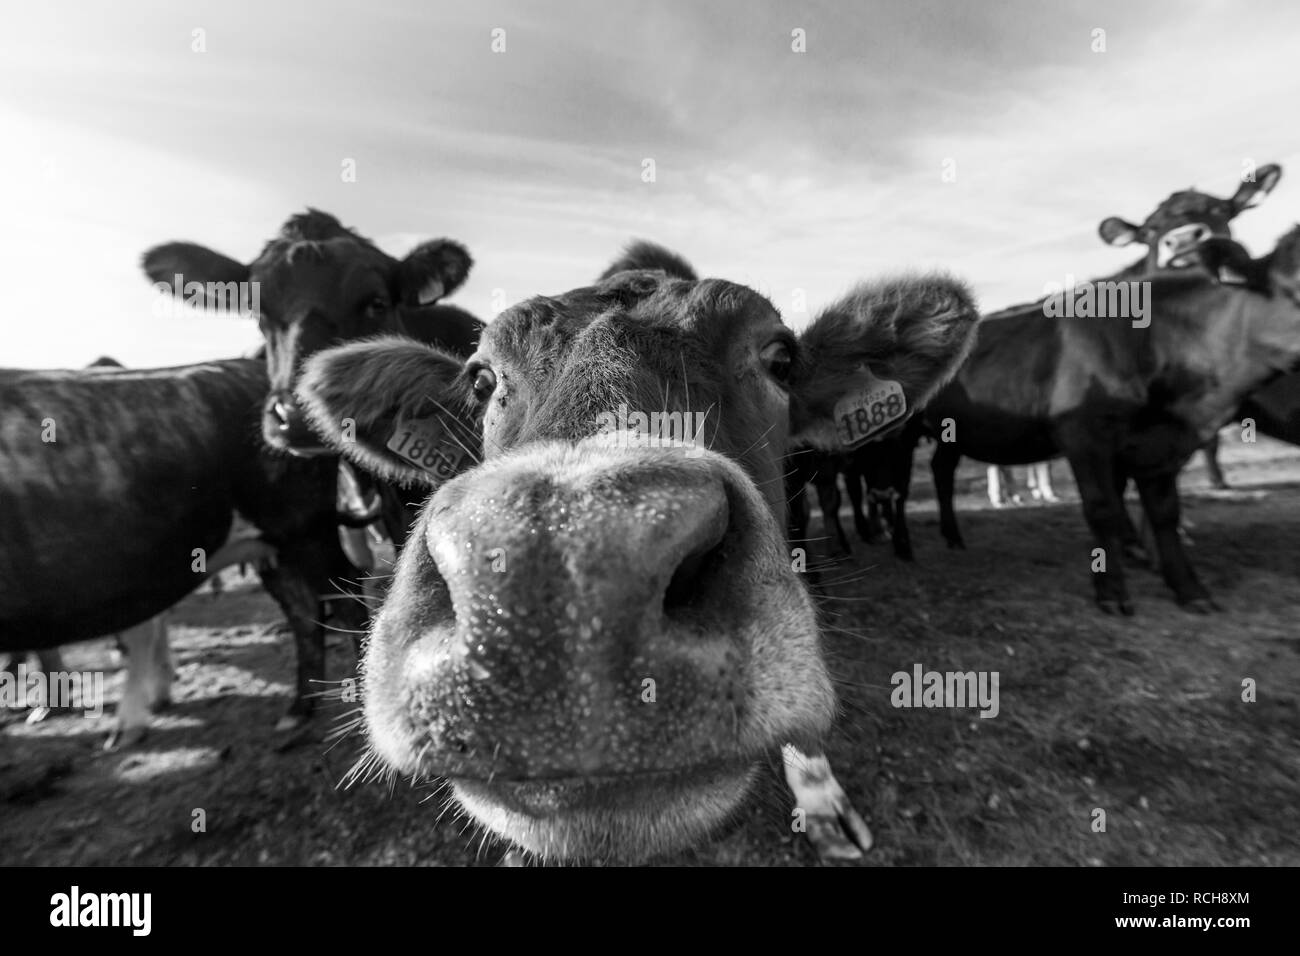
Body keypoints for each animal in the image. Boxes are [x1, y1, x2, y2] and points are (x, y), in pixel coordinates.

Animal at [925, 225, 1300, 613]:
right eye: (1296, 283)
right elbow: (1102, 508)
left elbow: (1165, 513)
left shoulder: (1161, 444)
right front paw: (1112, 590)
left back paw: (953, 536)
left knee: (942, 469)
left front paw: (1188, 588)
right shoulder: (1083, 436)